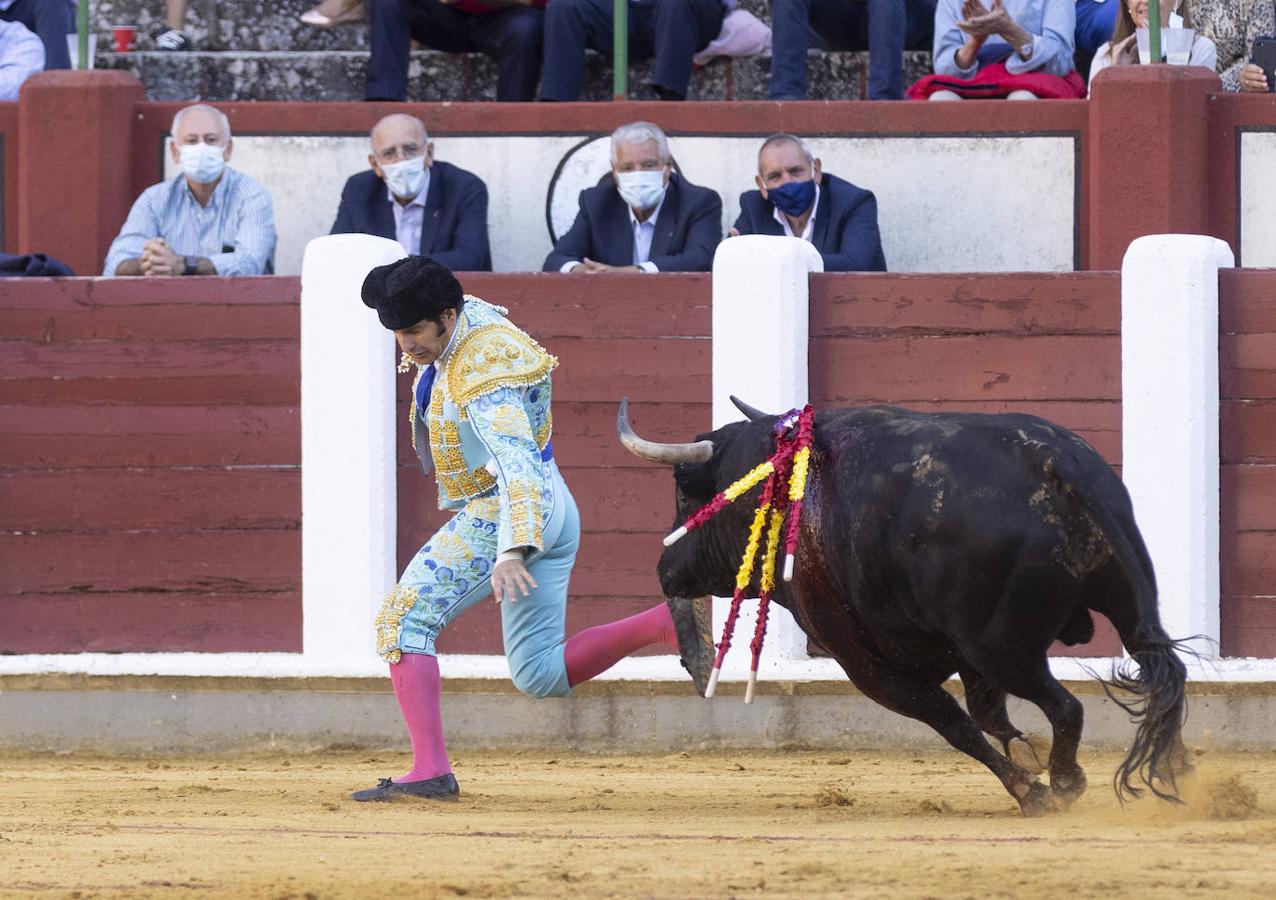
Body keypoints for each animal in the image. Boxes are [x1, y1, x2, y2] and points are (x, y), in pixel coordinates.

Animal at [617, 400, 1194, 817]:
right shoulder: (956, 650)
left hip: (1002, 647)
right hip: (1126, 609)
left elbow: (953, 723)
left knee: (1068, 706)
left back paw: (1069, 782)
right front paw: (1024, 754)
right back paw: (1180, 772)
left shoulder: (869, 665)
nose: (664, 568)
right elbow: (985, 713)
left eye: (684, 489)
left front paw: (1030, 787)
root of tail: (1055, 464)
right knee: (1163, 672)